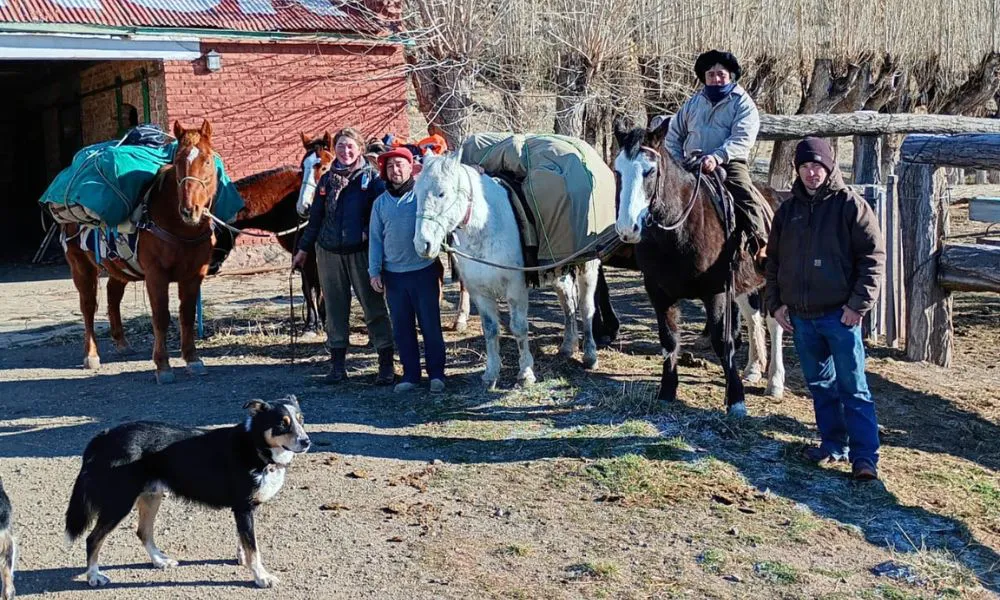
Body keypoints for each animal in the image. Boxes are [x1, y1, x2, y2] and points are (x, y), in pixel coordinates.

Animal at [63, 120, 219, 384]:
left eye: (207, 160)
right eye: (178, 160)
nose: (190, 210)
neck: (177, 225)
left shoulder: (194, 274)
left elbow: (187, 314)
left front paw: (193, 359)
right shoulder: (156, 275)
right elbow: (161, 316)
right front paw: (163, 365)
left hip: (119, 267)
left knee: (113, 296)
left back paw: (121, 342)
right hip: (80, 264)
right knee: (88, 306)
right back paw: (91, 355)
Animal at [413, 153, 601, 388]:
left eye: (442, 193)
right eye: (416, 193)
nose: (423, 245)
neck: (486, 225)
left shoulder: (516, 289)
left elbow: (519, 328)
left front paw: (526, 373)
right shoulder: (479, 292)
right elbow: (490, 329)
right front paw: (491, 373)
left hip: (589, 267)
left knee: (586, 308)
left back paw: (590, 355)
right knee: (568, 304)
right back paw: (567, 346)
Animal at [612, 120, 785, 416]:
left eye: (650, 171)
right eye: (617, 170)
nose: (627, 229)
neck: (679, 231)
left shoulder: (716, 292)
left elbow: (723, 341)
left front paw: (736, 400)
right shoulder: (658, 292)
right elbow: (669, 339)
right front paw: (666, 392)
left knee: (775, 324)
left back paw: (774, 382)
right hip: (744, 287)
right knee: (753, 318)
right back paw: (753, 369)